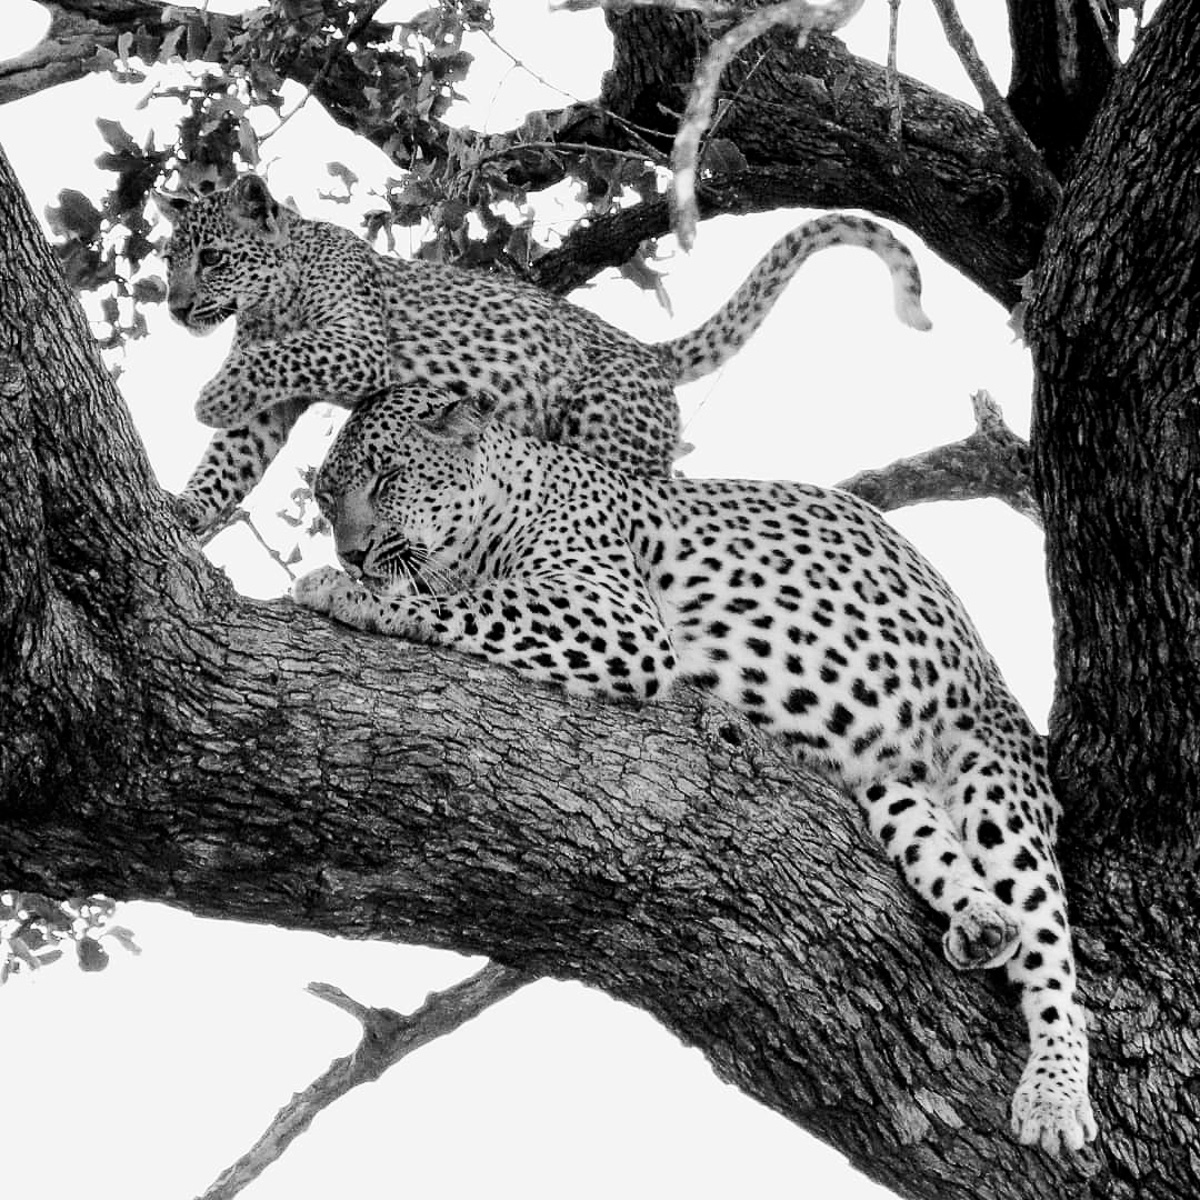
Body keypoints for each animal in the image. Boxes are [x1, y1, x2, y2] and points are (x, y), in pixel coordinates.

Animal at [154, 173, 931, 533]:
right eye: (170, 261)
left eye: (213, 258)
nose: (175, 308)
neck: (272, 297)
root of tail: (648, 353)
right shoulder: (275, 406)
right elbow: (231, 459)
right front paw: (188, 512)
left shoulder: (357, 345)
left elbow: (283, 357)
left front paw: (212, 395)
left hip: (604, 432)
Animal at [292, 383, 1097, 1156]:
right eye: (327, 500)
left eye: (389, 477)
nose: (353, 553)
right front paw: (359, 584)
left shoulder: (617, 618)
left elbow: (472, 602)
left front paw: (346, 592)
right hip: (890, 788)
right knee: (949, 861)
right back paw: (979, 923)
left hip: (998, 783)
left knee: (1055, 960)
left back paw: (1054, 1096)